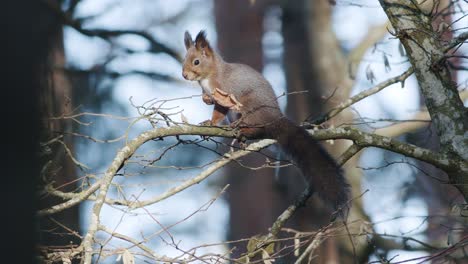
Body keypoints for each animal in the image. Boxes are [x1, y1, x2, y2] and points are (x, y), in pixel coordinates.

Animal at [181, 29, 350, 213]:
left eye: (196, 62)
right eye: (184, 59)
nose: (184, 75)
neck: (208, 76)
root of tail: (274, 118)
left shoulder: (224, 92)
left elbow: (219, 111)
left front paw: (211, 123)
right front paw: (206, 114)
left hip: (249, 107)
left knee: (257, 127)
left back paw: (242, 130)